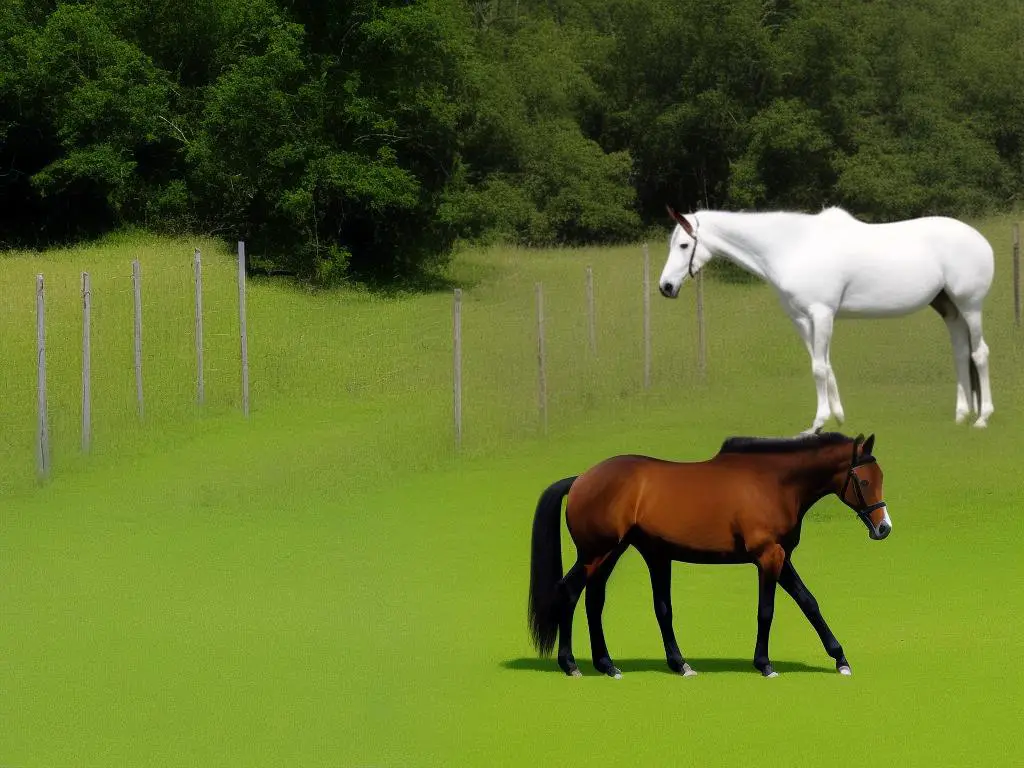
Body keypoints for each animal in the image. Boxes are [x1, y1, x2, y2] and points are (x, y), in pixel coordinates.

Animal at [528, 434, 888, 679]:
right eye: (864, 480)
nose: (884, 528)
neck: (773, 483)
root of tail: (580, 480)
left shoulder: (781, 557)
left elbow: (808, 602)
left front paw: (840, 659)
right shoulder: (767, 557)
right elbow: (766, 611)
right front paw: (765, 664)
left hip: (610, 553)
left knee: (594, 600)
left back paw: (613, 664)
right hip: (596, 553)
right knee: (569, 593)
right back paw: (571, 664)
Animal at [659, 204, 995, 434]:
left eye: (684, 245)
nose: (666, 287)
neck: (792, 247)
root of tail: (981, 241)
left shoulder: (822, 314)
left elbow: (819, 368)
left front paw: (818, 422)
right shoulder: (801, 319)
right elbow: (823, 365)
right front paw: (838, 417)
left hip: (970, 306)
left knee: (979, 354)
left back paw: (982, 417)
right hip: (950, 309)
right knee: (961, 354)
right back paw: (962, 415)